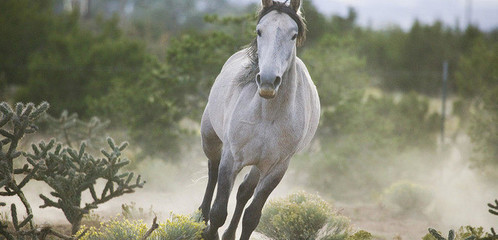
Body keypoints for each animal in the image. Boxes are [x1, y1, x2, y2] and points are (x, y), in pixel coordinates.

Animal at [198, 0, 320, 239]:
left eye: (293, 35)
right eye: (259, 31)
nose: (267, 82)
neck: (267, 114)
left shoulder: (276, 169)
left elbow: (252, 216)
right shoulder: (231, 158)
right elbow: (219, 211)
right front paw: (209, 231)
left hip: (258, 164)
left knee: (244, 191)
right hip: (210, 138)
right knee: (212, 172)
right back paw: (201, 217)